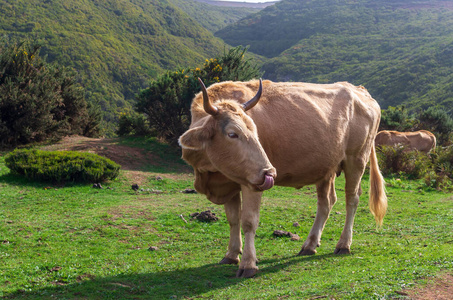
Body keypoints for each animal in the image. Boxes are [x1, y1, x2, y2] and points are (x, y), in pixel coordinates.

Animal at [178, 78, 386, 278]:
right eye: (232, 134)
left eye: (256, 132)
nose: (269, 172)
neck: (209, 171)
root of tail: (359, 89)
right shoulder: (229, 182)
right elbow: (233, 219)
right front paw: (231, 254)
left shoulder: (252, 182)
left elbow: (248, 221)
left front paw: (248, 263)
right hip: (326, 168)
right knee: (326, 202)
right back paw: (310, 244)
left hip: (356, 160)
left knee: (352, 199)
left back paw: (343, 244)